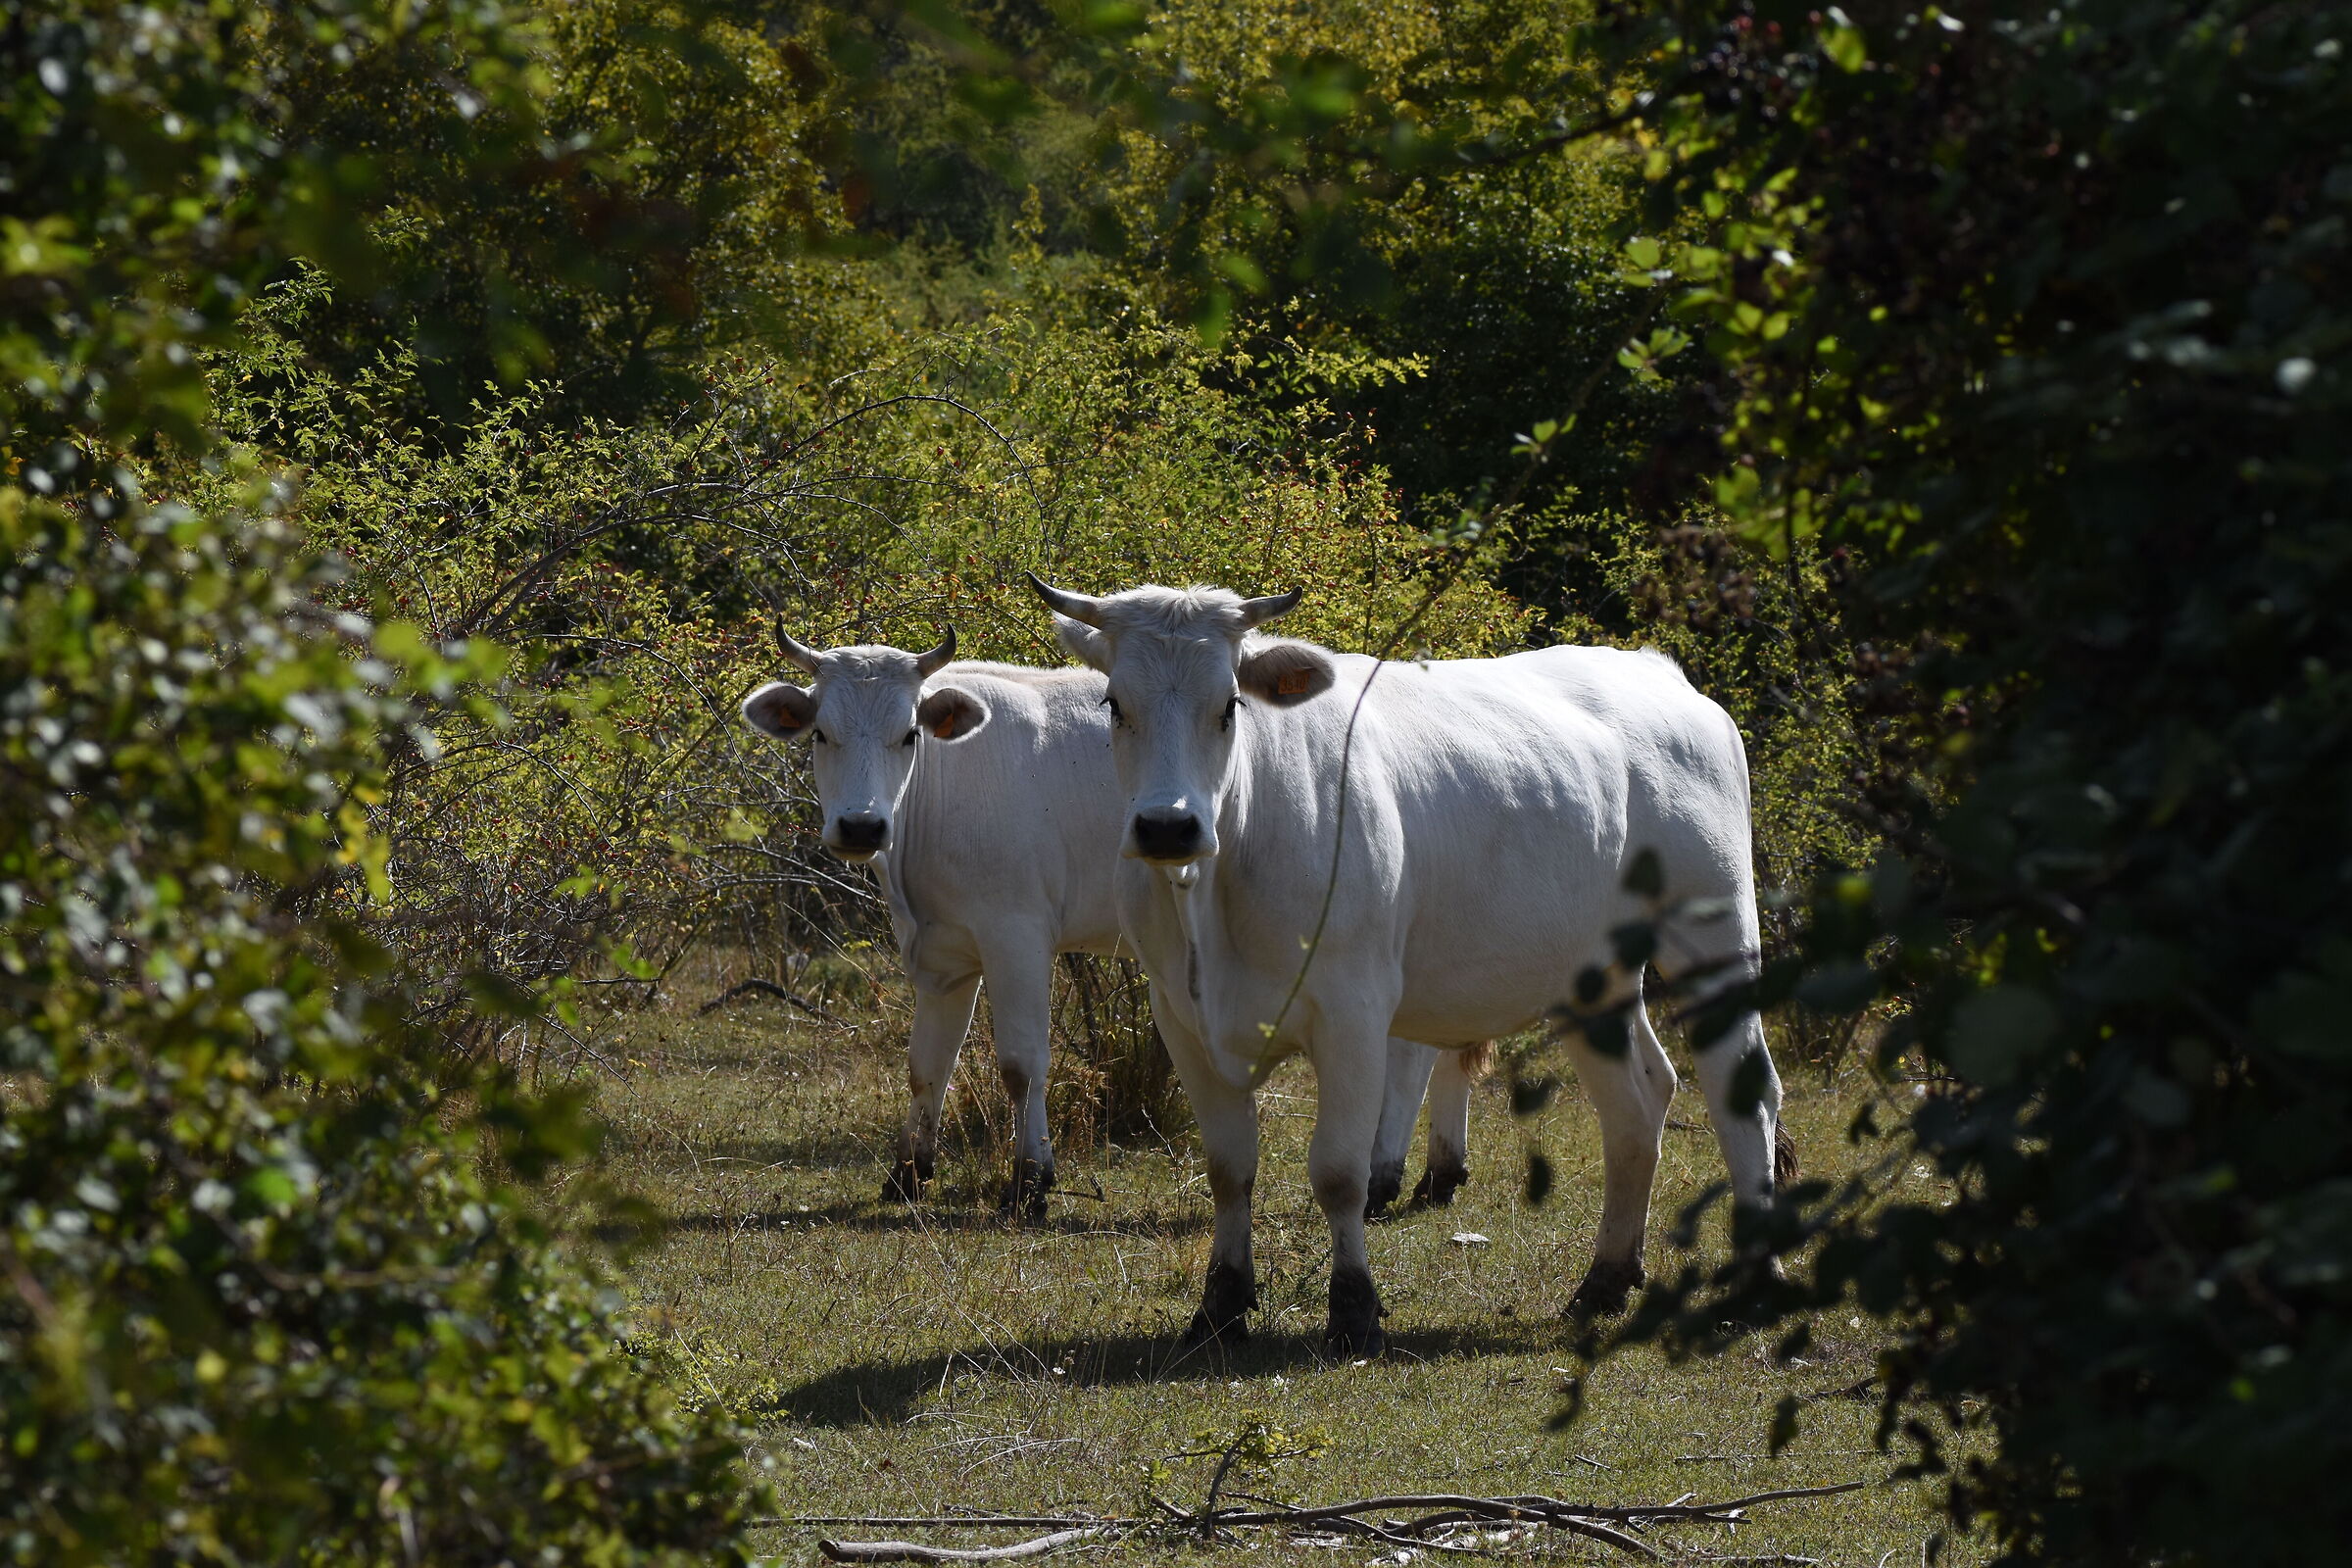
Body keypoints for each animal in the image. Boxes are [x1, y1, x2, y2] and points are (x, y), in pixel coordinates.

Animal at [738, 625, 1480, 1219]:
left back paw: (1387, 1177)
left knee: (1412, 1053)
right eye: (822, 733)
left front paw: (1030, 1183)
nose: (862, 826)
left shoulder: (1015, 933)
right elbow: (928, 1065)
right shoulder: (943, 954)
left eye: (908, 734)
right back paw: (1438, 1174)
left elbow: (1021, 1063)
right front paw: (908, 1176)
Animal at [1024, 577, 1790, 1353]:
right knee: (1637, 1103)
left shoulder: (1353, 1011)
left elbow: (1339, 1172)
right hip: (1592, 973)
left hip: (1714, 929)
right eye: (1115, 703)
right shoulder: (1181, 1018)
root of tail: (1660, 672)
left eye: (1230, 705)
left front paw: (1354, 1312)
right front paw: (1221, 1307)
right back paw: (1604, 1281)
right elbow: (1229, 1169)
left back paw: (1757, 1285)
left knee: (1745, 1093)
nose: (1167, 827)